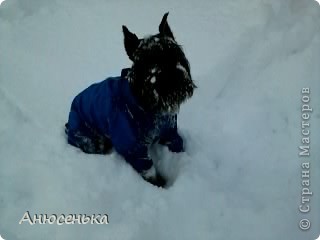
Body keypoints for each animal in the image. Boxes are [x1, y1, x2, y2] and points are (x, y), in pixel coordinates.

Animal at [64, 12, 195, 188]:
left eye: (175, 52)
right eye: (147, 61)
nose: (172, 78)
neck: (148, 105)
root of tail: (68, 122)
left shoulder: (169, 133)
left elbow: (177, 146)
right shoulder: (134, 148)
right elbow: (149, 172)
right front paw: (159, 185)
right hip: (88, 139)